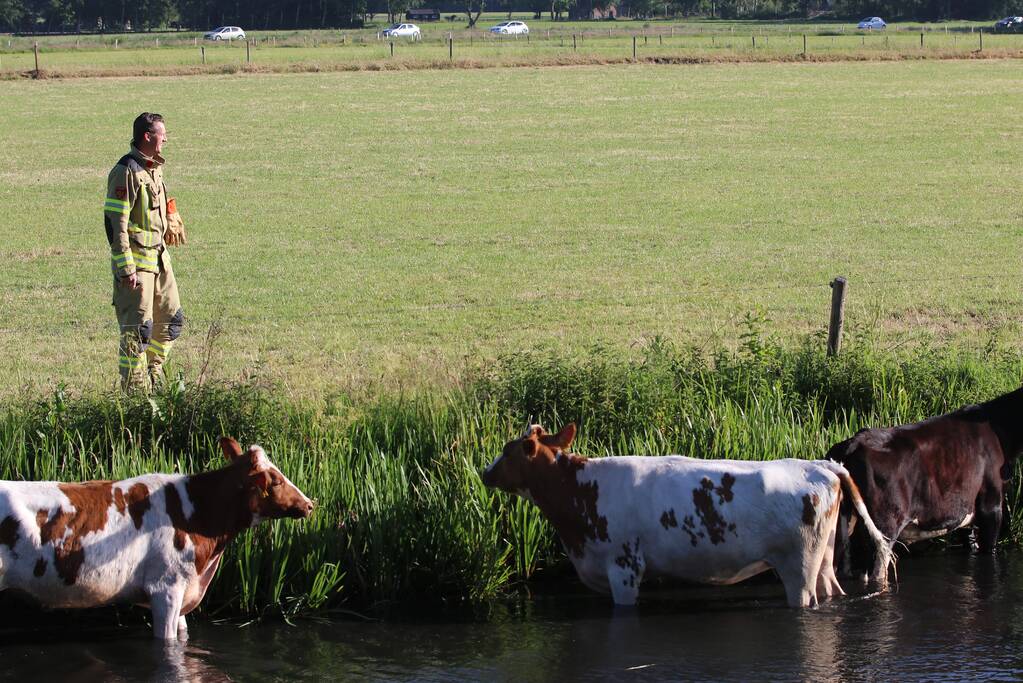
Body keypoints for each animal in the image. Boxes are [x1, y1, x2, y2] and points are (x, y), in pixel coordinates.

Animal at [481, 423, 891, 608]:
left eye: (509, 451)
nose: (485, 472)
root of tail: (822, 465)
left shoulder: (624, 568)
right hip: (824, 559)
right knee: (832, 590)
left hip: (800, 567)